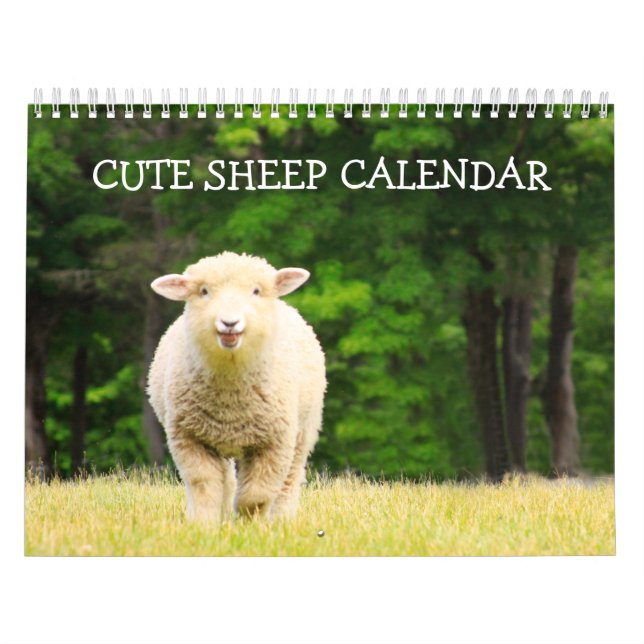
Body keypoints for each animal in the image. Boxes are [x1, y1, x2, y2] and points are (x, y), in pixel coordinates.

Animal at [147, 251, 326, 523]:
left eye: (256, 291)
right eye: (204, 291)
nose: (229, 323)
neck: (231, 397)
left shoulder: (275, 442)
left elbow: (257, 494)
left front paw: (250, 523)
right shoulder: (189, 438)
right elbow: (204, 486)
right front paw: (204, 524)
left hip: (304, 429)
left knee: (290, 479)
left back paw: (282, 519)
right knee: (225, 480)